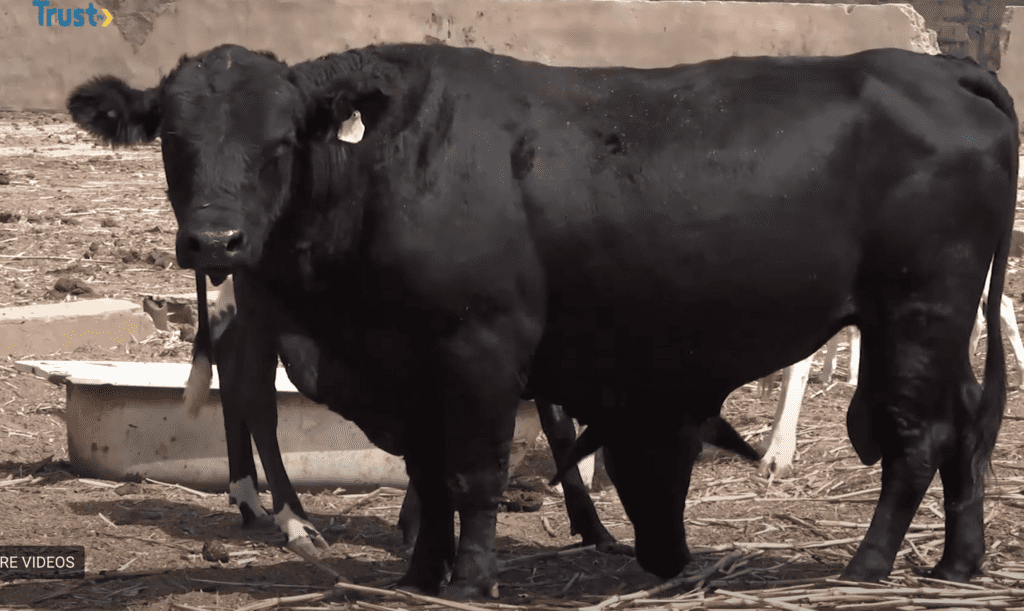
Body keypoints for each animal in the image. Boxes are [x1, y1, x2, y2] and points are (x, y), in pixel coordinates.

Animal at [67, 43, 1016, 597]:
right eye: (174, 141)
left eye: (278, 142)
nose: (214, 240)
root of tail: (937, 69)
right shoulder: (408, 365)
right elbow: (424, 471)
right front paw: (420, 572)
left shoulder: (482, 344)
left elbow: (471, 474)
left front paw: (470, 580)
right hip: (934, 321)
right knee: (967, 422)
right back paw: (957, 560)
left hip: (918, 310)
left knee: (919, 436)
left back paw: (869, 566)